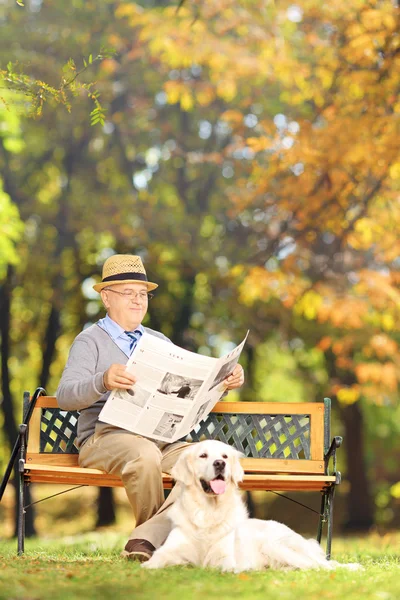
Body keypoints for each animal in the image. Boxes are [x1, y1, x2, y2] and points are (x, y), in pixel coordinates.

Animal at [142, 440, 360, 572]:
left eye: (225, 456)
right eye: (203, 455)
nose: (220, 463)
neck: (209, 512)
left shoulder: (227, 559)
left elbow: (223, 566)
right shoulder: (167, 551)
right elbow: (153, 562)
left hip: (276, 545)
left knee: (322, 565)